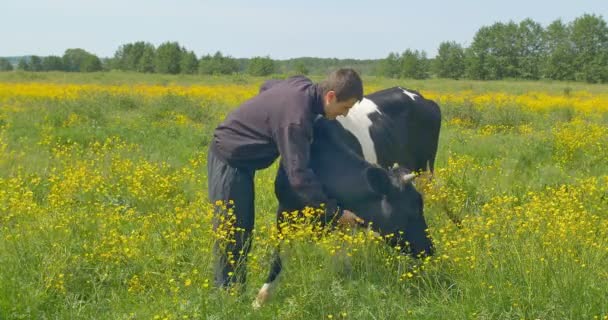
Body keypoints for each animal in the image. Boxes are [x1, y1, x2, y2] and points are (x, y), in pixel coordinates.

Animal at [254, 114, 434, 308]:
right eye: (413, 210)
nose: (430, 249)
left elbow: (341, 256)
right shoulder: (284, 211)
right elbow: (278, 257)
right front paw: (260, 299)